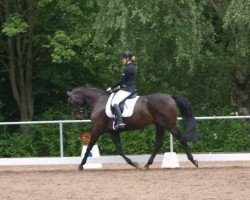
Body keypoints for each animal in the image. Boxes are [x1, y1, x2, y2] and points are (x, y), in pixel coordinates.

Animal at [67, 86, 199, 170]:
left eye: (72, 102)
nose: (79, 117)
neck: (99, 101)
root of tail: (170, 97)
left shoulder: (97, 129)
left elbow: (89, 146)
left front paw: (81, 165)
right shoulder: (113, 132)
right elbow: (119, 150)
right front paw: (134, 164)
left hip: (169, 125)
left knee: (182, 139)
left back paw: (194, 161)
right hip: (160, 125)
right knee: (158, 143)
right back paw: (146, 165)